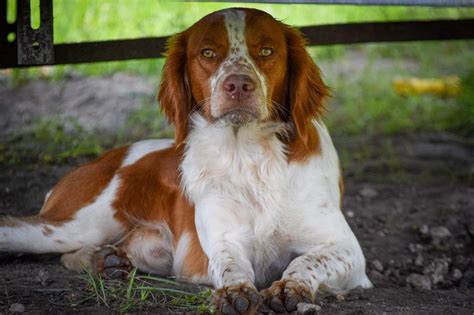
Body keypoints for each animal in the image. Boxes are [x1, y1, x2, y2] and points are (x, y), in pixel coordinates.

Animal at [1, 8, 372, 315]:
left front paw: (289, 287)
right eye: (207, 53)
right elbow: (231, 264)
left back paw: (104, 261)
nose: (238, 84)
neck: (247, 154)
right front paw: (235, 292)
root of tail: (104, 158)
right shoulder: (224, 239)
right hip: (74, 225)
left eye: (267, 51)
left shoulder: (347, 249)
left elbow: (307, 261)